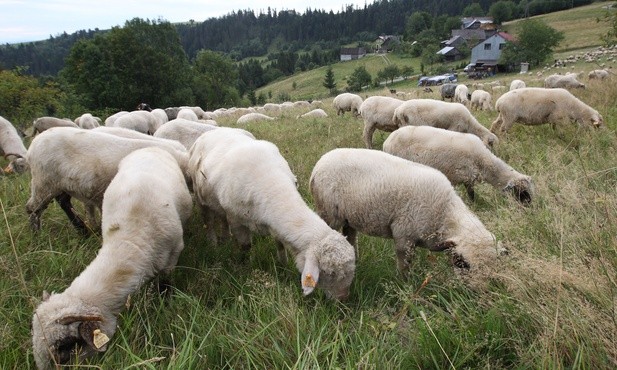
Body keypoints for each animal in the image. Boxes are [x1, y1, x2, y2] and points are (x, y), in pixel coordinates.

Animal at [25, 125, 190, 233]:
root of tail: (34, 144)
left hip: (62, 184)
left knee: (64, 202)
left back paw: (83, 229)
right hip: (43, 183)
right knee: (33, 208)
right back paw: (37, 234)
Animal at [32, 146, 191, 368]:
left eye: (66, 347)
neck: (130, 239)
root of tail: (149, 147)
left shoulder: (173, 254)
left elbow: (164, 286)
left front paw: (164, 304)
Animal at [188, 126, 354, 298]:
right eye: (329, 273)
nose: (343, 299)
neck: (272, 184)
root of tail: (216, 130)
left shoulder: (275, 225)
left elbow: (280, 245)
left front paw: (283, 266)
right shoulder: (236, 220)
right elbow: (245, 246)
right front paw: (244, 268)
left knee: (221, 219)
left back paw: (225, 239)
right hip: (200, 198)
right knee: (208, 221)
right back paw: (213, 243)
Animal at [310, 149, 502, 276]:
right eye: (464, 264)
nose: (475, 292)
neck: (445, 214)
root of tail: (319, 163)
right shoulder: (404, 236)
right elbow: (404, 266)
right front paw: (405, 284)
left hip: (348, 217)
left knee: (350, 236)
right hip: (329, 213)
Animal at [382, 125, 532, 204]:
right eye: (522, 192)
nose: (529, 207)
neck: (484, 162)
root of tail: (387, 142)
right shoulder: (466, 176)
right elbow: (471, 194)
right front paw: (474, 206)